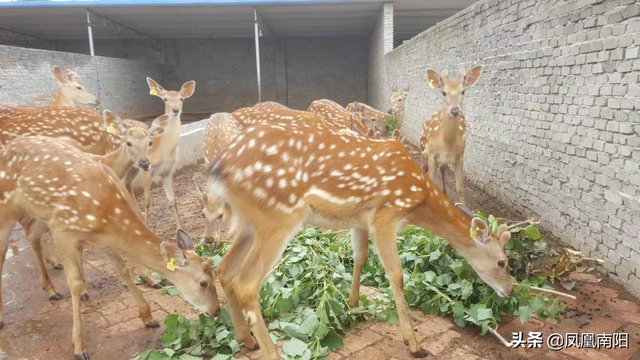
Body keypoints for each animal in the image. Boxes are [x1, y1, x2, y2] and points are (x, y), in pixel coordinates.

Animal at [0, 136, 220, 360]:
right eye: (203, 283)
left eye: (214, 273)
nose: (216, 311)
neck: (106, 214)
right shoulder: (62, 230)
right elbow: (75, 282)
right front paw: (79, 347)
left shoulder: (102, 239)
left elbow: (123, 270)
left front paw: (147, 317)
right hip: (8, 205)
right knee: (5, 247)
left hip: (39, 212)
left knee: (32, 234)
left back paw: (51, 288)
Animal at [125, 78, 195, 231]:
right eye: (165, 99)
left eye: (181, 98)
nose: (175, 110)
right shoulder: (145, 170)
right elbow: (147, 201)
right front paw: (148, 228)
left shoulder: (167, 171)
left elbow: (173, 200)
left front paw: (180, 228)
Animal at [208, 121, 512, 360]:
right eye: (503, 262)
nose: (510, 292)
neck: (418, 198)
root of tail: (218, 168)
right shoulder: (386, 214)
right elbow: (396, 274)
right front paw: (414, 344)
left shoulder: (359, 219)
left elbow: (361, 256)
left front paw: (353, 303)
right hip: (278, 216)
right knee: (246, 282)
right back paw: (270, 352)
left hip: (249, 222)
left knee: (224, 269)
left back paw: (247, 340)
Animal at [418, 65, 482, 205]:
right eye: (443, 92)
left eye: (463, 91)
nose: (455, 110)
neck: (447, 145)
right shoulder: (432, 154)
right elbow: (431, 180)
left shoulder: (459, 157)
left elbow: (460, 188)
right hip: (423, 148)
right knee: (424, 167)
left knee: (442, 169)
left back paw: (445, 192)